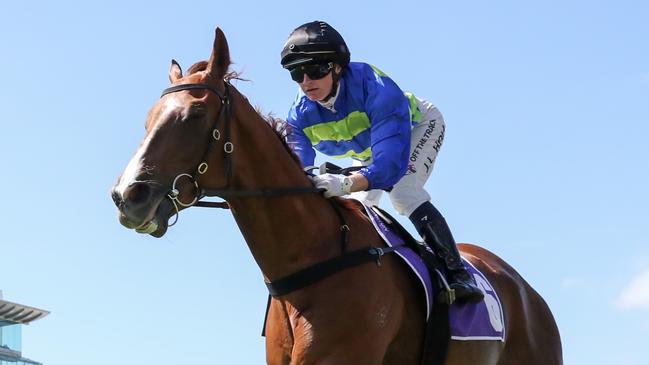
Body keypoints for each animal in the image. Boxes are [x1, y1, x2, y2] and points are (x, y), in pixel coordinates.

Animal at [111, 27, 560, 362]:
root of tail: (528, 293)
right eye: (149, 118)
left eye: (196, 114)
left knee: (408, 192)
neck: (313, 256)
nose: (127, 195)